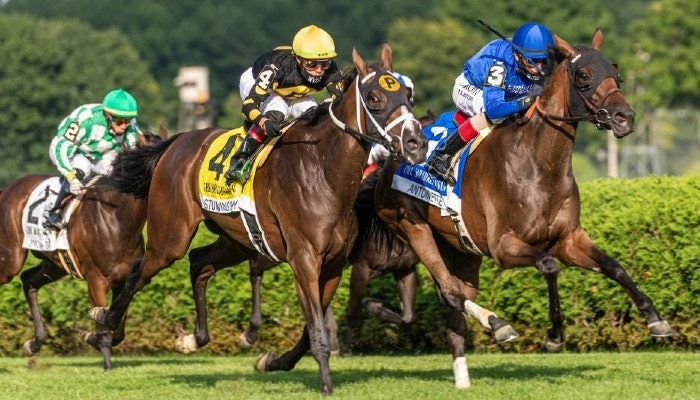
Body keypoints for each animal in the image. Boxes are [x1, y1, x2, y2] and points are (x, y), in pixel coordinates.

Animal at [0, 131, 165, 370]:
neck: (117, 219)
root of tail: (7, 189)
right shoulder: (96, 281)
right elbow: (106, 331)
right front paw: (106, 363)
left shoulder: (122, 281)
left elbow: (116, 329)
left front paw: (91, 337)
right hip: (11, 258)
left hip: (54, 264)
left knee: (29, 280)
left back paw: (35, 342)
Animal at [90, 44, 427, 394]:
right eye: (374, 97)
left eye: (408, 94)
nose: (416, 143)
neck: (324, 173)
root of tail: (178, 142)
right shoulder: (304, 260)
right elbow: (317, 329)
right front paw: (325, 384)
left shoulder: (334, 264)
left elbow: (311, 329)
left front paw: (273, 361)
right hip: (170, 237)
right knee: (138, 272)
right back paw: (105, 321)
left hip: (238, 238)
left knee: (199, 263)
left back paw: (194, 338)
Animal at [373, 29, 674, 387]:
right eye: (584, 76)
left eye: (618, 75)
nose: (624, 118)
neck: (539, 165)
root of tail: (390, 157)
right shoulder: (504, 247)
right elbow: (549, 267)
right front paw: (555, 335)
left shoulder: (568, 239)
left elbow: (615, 267)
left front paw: (656, 320)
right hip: (413, 227)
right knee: (448, 290)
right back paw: (497, 325)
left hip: (462, 250)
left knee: (457, 304)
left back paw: (464, 377)